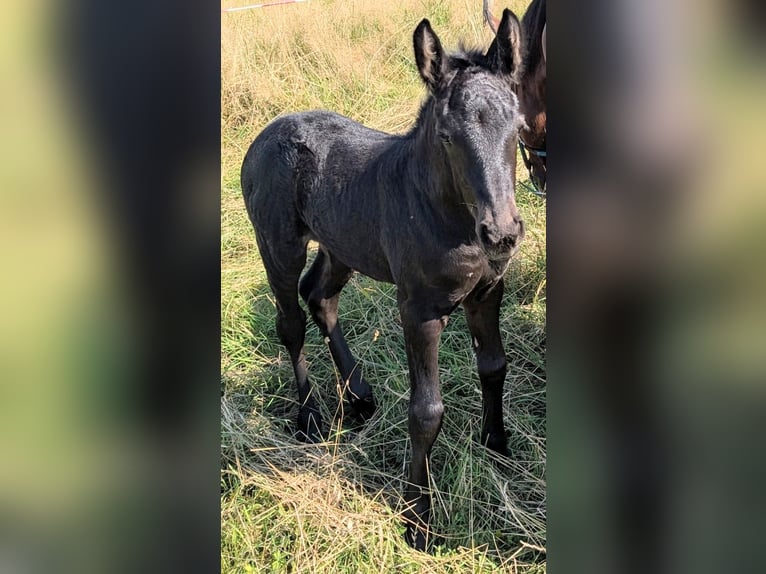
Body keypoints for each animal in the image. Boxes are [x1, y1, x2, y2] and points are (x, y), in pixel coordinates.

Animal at [241, 10, 525, 550]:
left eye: (518, 128)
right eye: (447, 136)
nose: (501, 232)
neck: (447, 215)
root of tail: (266, 133)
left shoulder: (486, 293)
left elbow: (495, 366)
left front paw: (497, 446)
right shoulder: (418, 311)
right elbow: (426, 411)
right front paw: (418, 518)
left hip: (342, 245)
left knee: (320, 296)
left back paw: (359, 395)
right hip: (278, 245)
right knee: (290, 321)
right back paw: (309, 417)